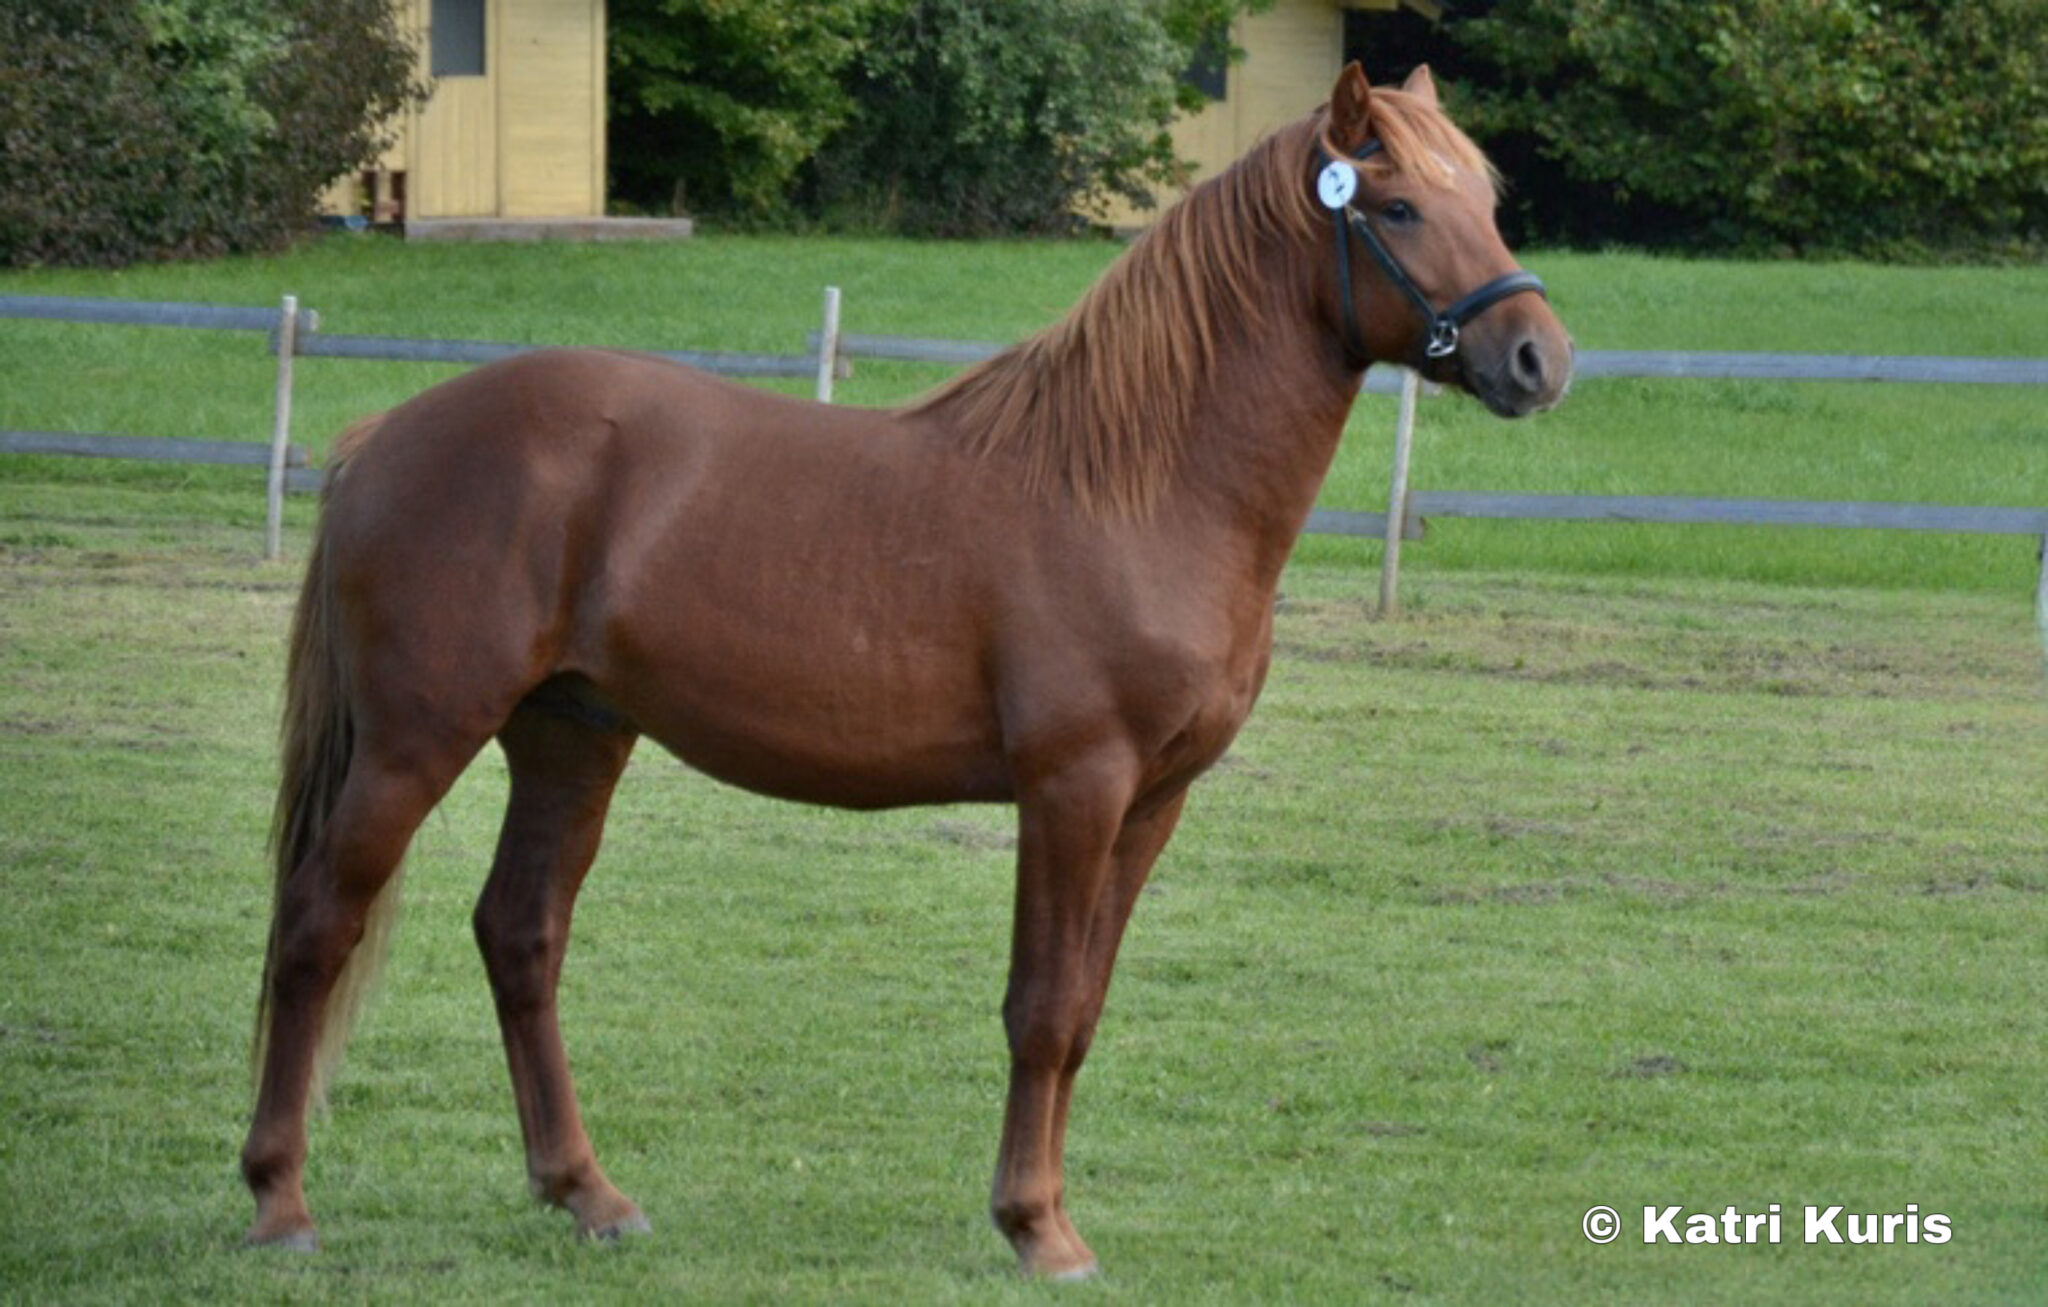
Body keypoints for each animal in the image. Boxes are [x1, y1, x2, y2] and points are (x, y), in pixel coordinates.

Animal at [240, 62, 1571, 1278]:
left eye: (1483, 198)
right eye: (1395, 206)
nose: (1537, 359)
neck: (1137, 486)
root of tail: (383, 439)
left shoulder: (1152, 802)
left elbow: (1082, 1011)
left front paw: (1047, 1214)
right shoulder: (1073, 787)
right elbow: (1039, 1009)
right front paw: (1037, 1228)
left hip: (570, 734)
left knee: (521, 934)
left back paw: (588, 1193)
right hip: (416, 740)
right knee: (314, 922)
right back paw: (280, 1201)